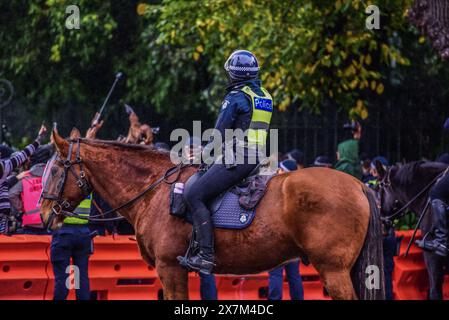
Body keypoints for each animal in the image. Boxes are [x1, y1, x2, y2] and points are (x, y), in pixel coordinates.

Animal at [40, 128, 384, 300]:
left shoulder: (171, 269)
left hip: (334, 271)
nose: (44, 213)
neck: (153, 190)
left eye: (55, 169)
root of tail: (358, 185)